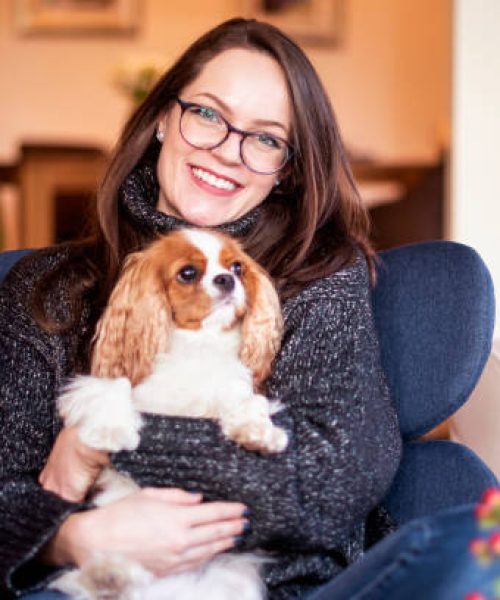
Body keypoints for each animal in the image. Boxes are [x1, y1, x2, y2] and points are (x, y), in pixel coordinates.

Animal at [49, 227, 290, 596]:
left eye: (236, 267)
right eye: (187, 273)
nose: (227, 279)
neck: (198, 344)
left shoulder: (230, 385)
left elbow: (245, 401)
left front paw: (259, 432)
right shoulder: (105, 384)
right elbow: (114, 388)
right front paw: (111, 432)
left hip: (235, 574)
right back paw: (108, 573)